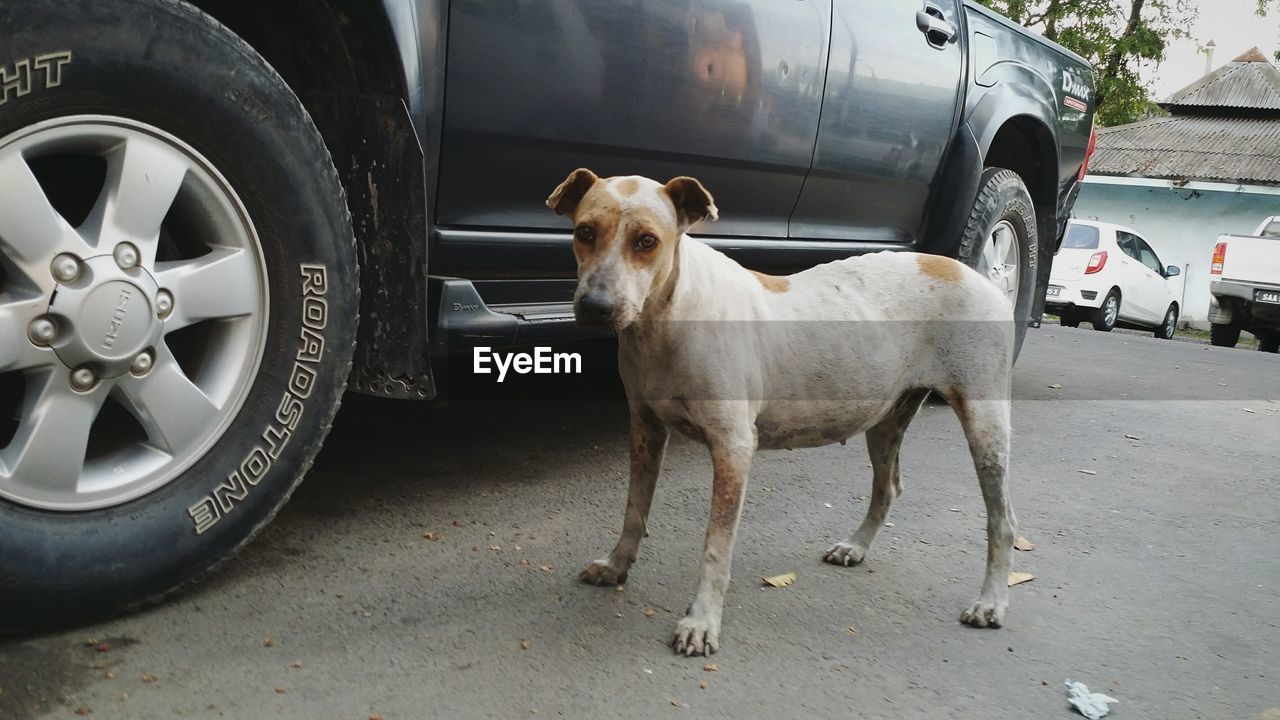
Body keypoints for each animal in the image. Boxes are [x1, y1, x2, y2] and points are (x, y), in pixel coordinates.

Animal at [545, 166, 1013, 650]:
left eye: (646, 241)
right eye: (584, 232)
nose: (596, 307)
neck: (669, 318)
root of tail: (966, 271)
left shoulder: (733, 449)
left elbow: (716, 546)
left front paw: (703, 619)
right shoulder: (645, 430)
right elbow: (634, 509)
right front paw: (617, 564)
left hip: (985, 425)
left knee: (1002, 521)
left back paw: (991, 601)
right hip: (885, 421)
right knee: (887, 488)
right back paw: (856, 545)